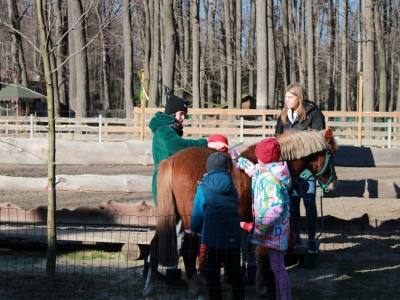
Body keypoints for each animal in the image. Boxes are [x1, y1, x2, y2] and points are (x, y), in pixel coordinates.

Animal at [144, 128, 338, 298]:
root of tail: (172, 160)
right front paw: (262, 287)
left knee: (154, 245)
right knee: (188, 252)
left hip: (171, 217)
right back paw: (196, 292)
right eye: (331, 154)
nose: (333, 181)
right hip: (191, 222)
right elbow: (262, 252)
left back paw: (150, 289)